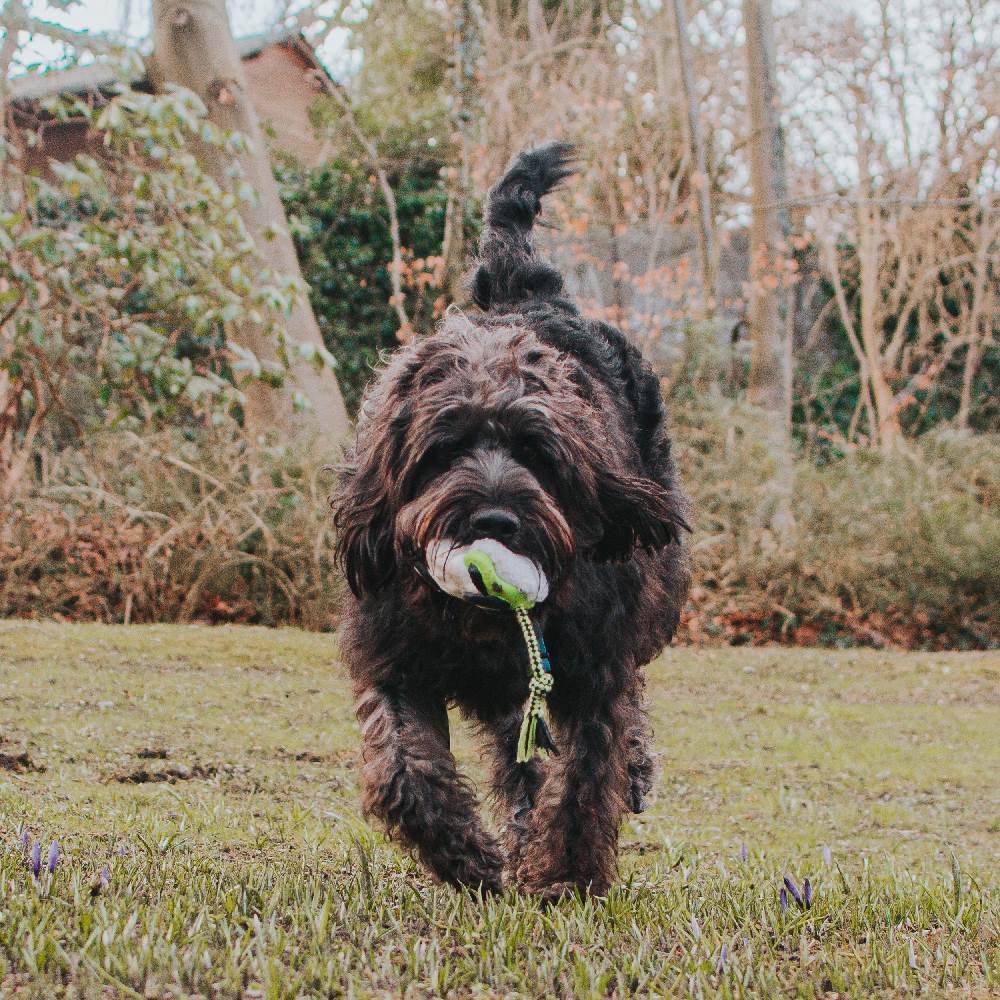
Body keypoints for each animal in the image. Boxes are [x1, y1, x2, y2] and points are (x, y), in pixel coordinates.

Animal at [332, 141, 692, 900]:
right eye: (445, 447)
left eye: (536, 450)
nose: (494, 521)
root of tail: (527, 293)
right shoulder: (396, 660)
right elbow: (403, 768)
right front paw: (465, 857)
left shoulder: (593, 667)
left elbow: (587, 774)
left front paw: (567, 876)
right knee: (517, 758)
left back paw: (626, 778)